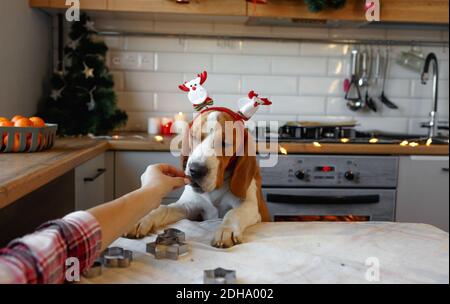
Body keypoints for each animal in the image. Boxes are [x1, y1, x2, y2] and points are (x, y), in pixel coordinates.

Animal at [125, 108, 268, 248]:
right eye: (194, 136)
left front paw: (226, 230)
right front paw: (143, 218)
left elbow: (233, 213)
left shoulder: (250, 206)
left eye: (224, 143)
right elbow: (164, 208)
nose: (196, 170)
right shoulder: (188, 206)